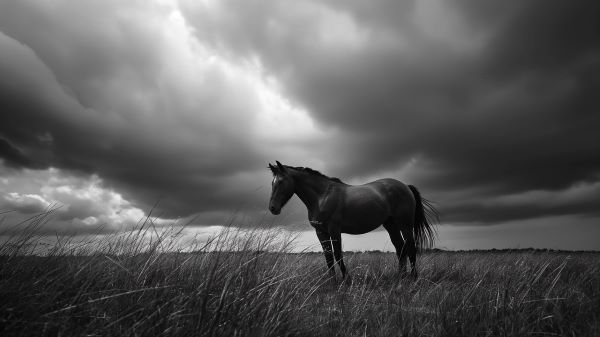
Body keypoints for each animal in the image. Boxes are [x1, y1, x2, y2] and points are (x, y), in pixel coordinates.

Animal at [268, 161, 436, 276]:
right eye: (272, 182)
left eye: (281, 182)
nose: (272, 208)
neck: (322, 196)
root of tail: (405, 186)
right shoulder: (321, 232)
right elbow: (328, 257)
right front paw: (332, 281)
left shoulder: (334, 230)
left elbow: (337, 255)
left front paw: (346, 279)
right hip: (391, 225)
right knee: (400, 248)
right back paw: (400, 277)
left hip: (405, 225)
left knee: (411, 248)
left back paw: (412, 278)